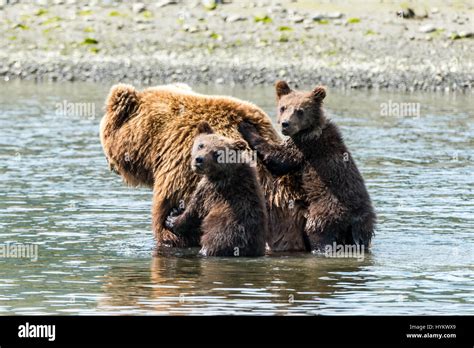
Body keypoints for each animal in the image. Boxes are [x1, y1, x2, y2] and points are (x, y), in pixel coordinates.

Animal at [164, 121, 266, 256]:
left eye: (217, 153)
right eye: (201, 145)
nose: (199, 159)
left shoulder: (210, 191)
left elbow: (194, 210)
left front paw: (172, 218)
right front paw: (175, 211)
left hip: (221, 236)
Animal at [239, 80, 376, 251]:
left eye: (300, 110)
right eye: (283, 107)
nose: (285, 124)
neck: (310, 129)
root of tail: (353, 221)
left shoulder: (306, 146)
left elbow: (280, 160)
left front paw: (246, 127)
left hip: (326, 212)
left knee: (317, 233)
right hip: (364, 226)